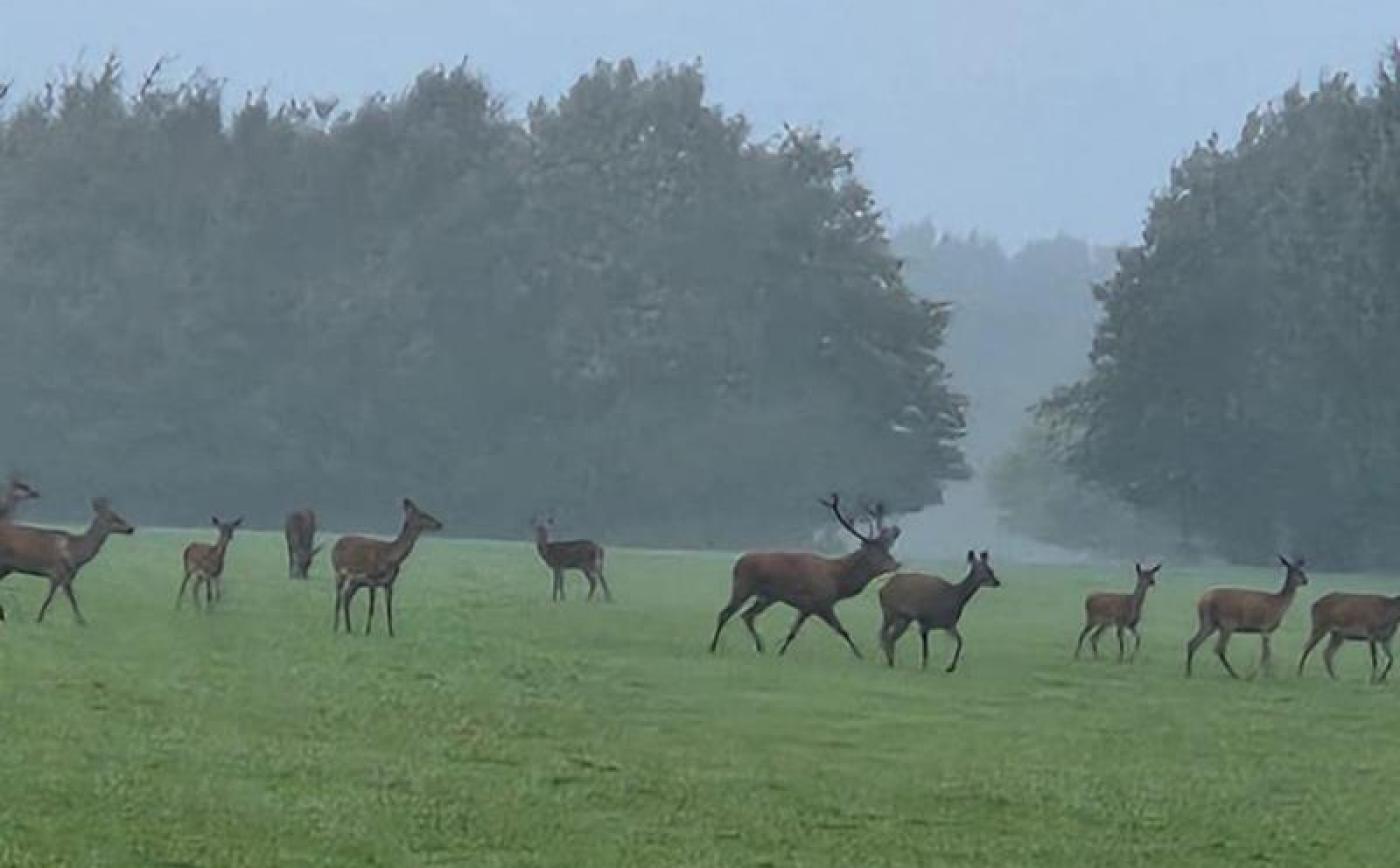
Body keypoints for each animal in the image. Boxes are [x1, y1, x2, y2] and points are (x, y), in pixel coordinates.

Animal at [0, 495, 133, 624]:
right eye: (113, 517)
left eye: (117, 515)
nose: (131, 528)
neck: (76, 555)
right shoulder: (59, 572)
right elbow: (63, 599)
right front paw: (81, 621)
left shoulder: (65, 576)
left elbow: (60, 598)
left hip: (7, 568)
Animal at [330, 498, 439, 632]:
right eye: (423, 514)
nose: (439, 524)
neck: (390, 558)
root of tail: (335, 545)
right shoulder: (371, 578)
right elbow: (371, 608)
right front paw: (367, 631)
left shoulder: (389, 583)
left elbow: (389, 609)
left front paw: (392, 633)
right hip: (339, 571)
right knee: (338, 599)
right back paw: (335, 628)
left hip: (355, 581)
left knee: (346, 598)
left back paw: (349, 629)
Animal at [705, 495, 901, 658]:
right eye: (877, 553)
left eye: (887, 550)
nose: (897, 563)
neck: (838, 581)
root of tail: (737, 562)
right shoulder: (820, 602)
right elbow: (842, 630)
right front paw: (860, 655)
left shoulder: (807, 607)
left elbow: (793, 632)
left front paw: (780, 652)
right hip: (743, 587)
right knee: (725, 613)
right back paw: (712, 647)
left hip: (768, 596)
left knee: (747, 615)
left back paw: (761, 647)